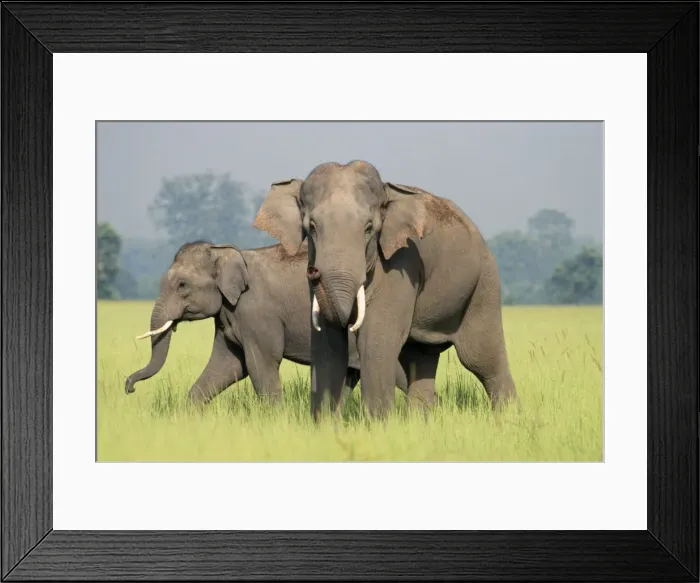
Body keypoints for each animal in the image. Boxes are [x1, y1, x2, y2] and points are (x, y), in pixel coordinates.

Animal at [124, 239, 410, 407]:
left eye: (182, 285)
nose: (128, 388)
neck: (224, 251)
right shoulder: (229, 314)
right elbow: (227, 365)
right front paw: (190, 412)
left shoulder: (256, 312)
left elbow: (259, 363)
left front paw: (275, 418)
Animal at [253, 160, 518, 419]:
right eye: (312, 228)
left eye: (369, 228)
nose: (313, 272)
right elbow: (328, 343)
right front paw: (326, 425)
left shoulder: (401, 264)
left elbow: (376, 340)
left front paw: (378, 425)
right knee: (419, 358)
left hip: (483, 284)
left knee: (481, 358)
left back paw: (509, 419)